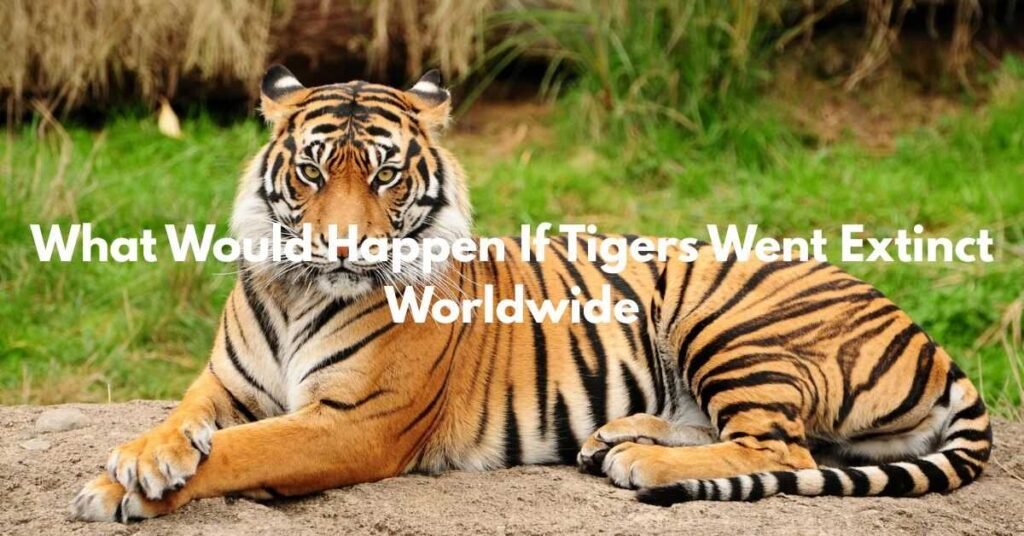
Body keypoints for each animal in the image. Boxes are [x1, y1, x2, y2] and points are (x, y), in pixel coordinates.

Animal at [72, 65, 992, 522]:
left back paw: (641, 460)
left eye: (385, 176)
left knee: (785, 450)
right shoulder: (224, 384)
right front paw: (139, 461)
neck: (301, 292)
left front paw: (125, 489)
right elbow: (185, 423)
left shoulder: (355, 422)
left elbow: (244, 451)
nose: (343, 246)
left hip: (731, 322)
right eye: (311, 171)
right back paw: (616, 437)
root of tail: (928, 336)